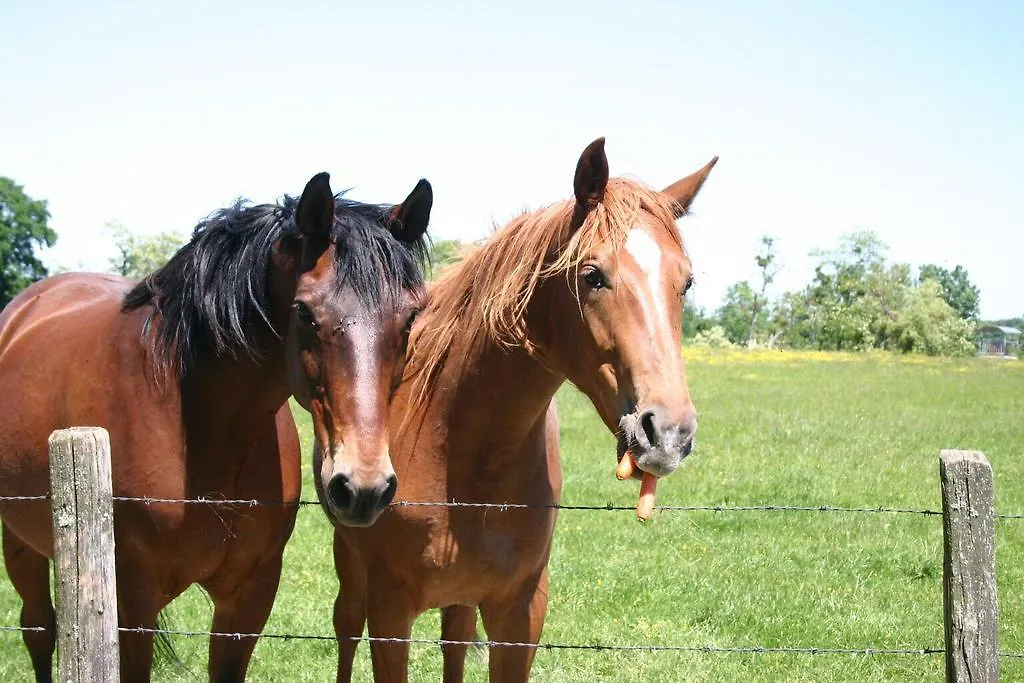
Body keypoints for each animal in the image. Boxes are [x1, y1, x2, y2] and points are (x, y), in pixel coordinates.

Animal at [0, 172, 432, 683]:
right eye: (305, 312)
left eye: (410, 318)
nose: (363, 488)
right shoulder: (132, 606)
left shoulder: (247, 598)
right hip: (19, 543)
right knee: (38, 629)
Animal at [331, 136, 716, 679]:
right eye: (592, 275)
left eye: (686, 283)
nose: (669, 433)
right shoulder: (390, 610)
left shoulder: (521, 612)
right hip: (351, 566)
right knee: (345, 629)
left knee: (454, 640)